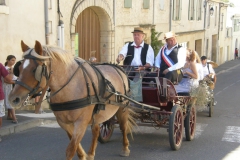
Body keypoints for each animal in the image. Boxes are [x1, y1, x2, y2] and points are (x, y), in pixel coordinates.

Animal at [8, 41, 136, 160]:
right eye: (19, 68)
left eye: (35, 69)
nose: (13, 99)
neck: (70, 87)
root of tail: (118, 68)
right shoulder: (64, 123)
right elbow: (75, 146)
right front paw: (84, 155)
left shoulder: (81, 122)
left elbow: (71, 149)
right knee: (96, 130)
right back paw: (91, 154)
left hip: (122, 108)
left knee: (123, 127)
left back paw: (125, 148)